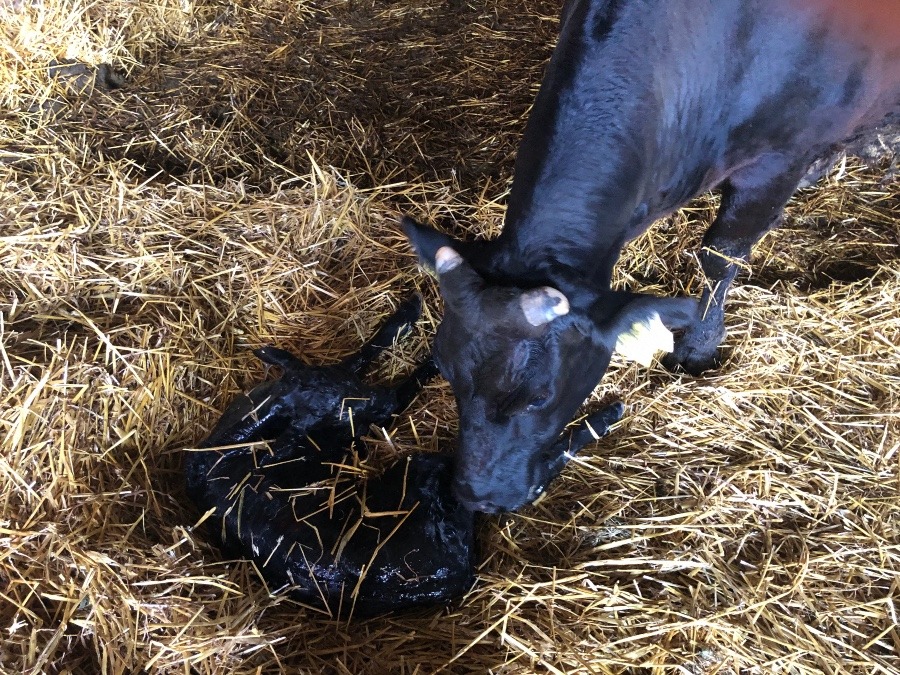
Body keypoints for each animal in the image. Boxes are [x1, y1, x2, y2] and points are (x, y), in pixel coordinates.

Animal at [404, 0, 896, 510]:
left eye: (538, 395)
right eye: (444, 369)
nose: (477, 497)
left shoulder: (777, 163)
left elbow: (721, 255)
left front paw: (699, 346)